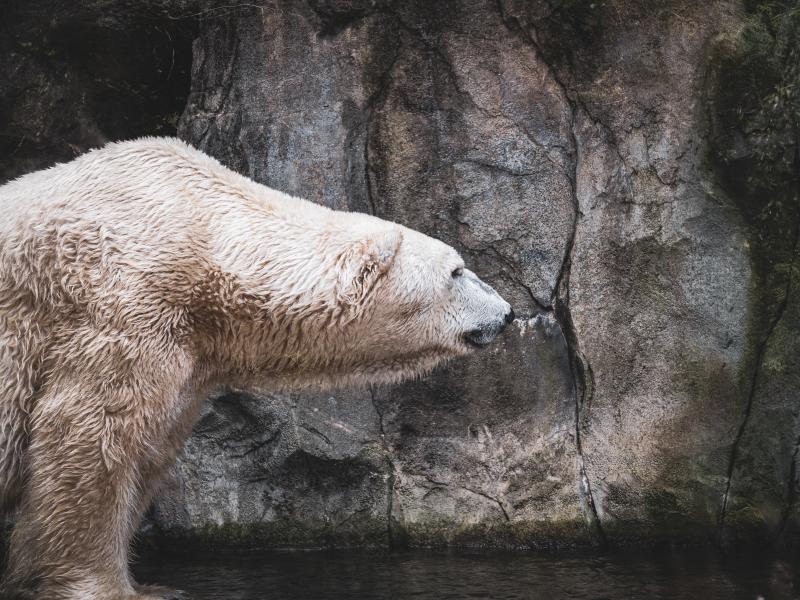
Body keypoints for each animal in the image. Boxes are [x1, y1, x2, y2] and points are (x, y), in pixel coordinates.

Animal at [0, 137, 512, 600]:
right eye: (457, 272)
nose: (506, 313)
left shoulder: (189, 357)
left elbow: (149, 444)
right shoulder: (122, 302)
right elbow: (89, 432)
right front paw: (112, 588)